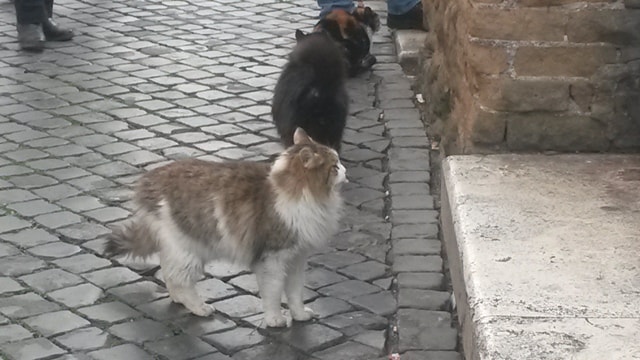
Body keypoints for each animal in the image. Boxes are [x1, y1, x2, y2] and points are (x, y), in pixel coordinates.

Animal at [105, 128, 344, 328]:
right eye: (334, 166)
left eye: (338, 162)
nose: (345, 170)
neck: (303, 195)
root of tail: (147, 180)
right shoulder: (273, 260)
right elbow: (274, 294)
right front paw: (275, 320)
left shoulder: (296, 260)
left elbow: (295, 294)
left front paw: (300, 315)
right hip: (188, 253)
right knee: (181, 281)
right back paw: (199, 307)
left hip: (176, 248)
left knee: (169, 273)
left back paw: (178, 299)